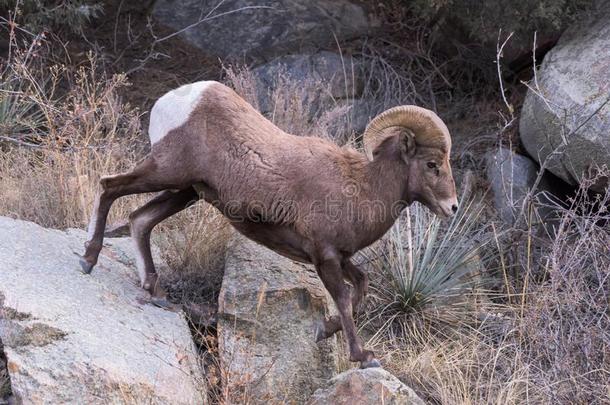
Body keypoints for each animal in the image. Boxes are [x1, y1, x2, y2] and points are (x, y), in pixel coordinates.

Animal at [79, 79, 456, 366]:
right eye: (432, 164)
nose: (452, 207)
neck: (361, 186)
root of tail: (182, 98)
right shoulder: (325, 256)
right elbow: (345, 299)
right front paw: (362, 357)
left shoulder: (341, 257)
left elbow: (361, 287)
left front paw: (324, 331)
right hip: (167, 173)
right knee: (109, 187)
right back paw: (88, 260)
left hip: (186, 191)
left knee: (139, 220)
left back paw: (155, 292)